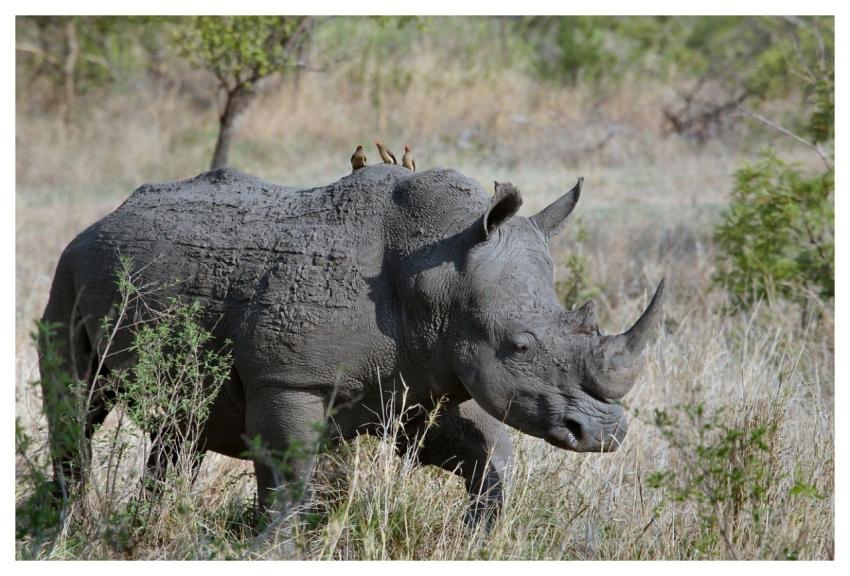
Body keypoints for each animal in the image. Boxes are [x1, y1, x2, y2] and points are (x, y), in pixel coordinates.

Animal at [40, 164, 663, 523]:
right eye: (521, 345)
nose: (605, 434)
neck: (440, 274)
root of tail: (105, 217)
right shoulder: (289, 379)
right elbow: (288, 481)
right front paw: (274, 547)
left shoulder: (419, 377)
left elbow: (486, 455)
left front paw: (477, 535)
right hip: (69, 268)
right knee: (76, 401)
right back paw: (65, 528)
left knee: (181, 427)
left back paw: (141, 526)